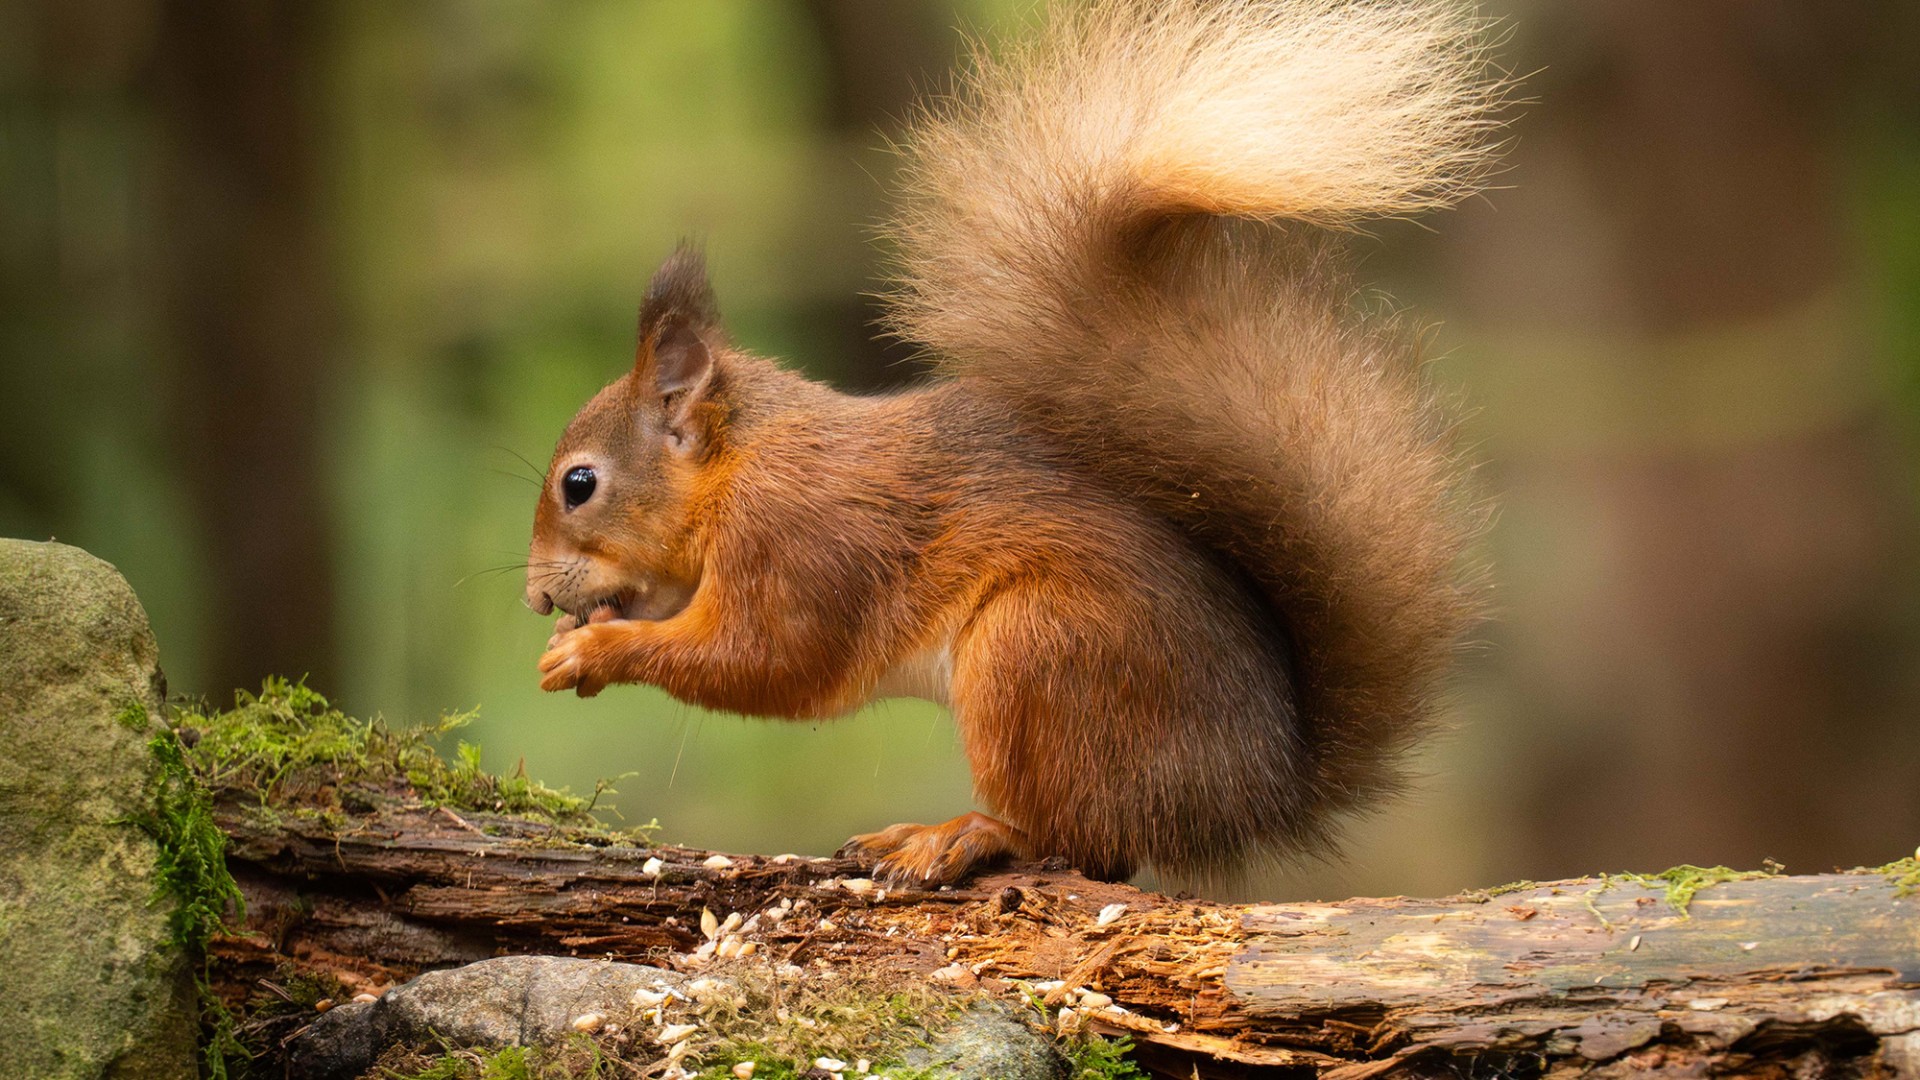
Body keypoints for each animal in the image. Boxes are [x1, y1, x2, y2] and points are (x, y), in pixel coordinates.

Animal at [526, 0, 1502, 885]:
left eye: (579, 484)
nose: (536, 599)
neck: (741, 468)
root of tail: (1254, 794)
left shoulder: (804, 546)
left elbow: (768, 663)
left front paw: (595, 651)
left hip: (1037, 648)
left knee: (1084, 843)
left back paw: (960, 835)